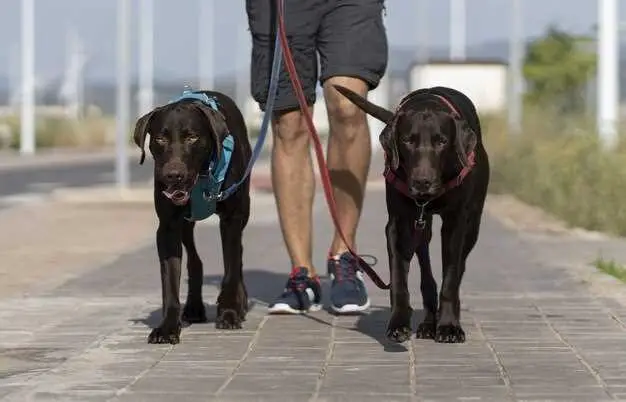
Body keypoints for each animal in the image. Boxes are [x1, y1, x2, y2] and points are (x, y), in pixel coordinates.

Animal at [133, 89, 250, 344]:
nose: (173, 175)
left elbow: (230, 269)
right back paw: (194, 307)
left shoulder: (231, 220)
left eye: (192, 137)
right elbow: (170, 282)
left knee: (237, 258)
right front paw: (167, 327)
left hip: (243, 212)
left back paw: (240, 301)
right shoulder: (167, 228)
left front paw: (229, 312)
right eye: (160, 139)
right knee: (195, 261)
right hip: (186, 225)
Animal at [334, 84, 490, 342]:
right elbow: (398, 279)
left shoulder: (456, 223)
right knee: (426, 272)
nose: (422, 182)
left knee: (458, 268)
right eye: (407, 140)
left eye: (442, 141)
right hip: (421, 228)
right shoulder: (398, 226)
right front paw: (398, 323)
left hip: (472, 226)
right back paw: (427, 323)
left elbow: (451, 277)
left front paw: (449, 325)